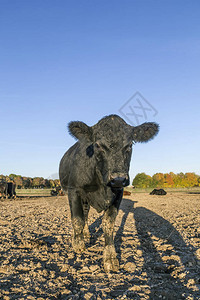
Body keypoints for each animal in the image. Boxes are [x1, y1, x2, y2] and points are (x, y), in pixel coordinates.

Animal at [58, 114, 159, 272]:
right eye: (98, 145)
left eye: (130, 145)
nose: (118, 178)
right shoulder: (74, 190)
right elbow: (77, 220)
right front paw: (78, 244)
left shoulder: (118, 194)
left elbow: (108, 224)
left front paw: (110, 257)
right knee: (81, 216)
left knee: (86, 213)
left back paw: (86, 235)